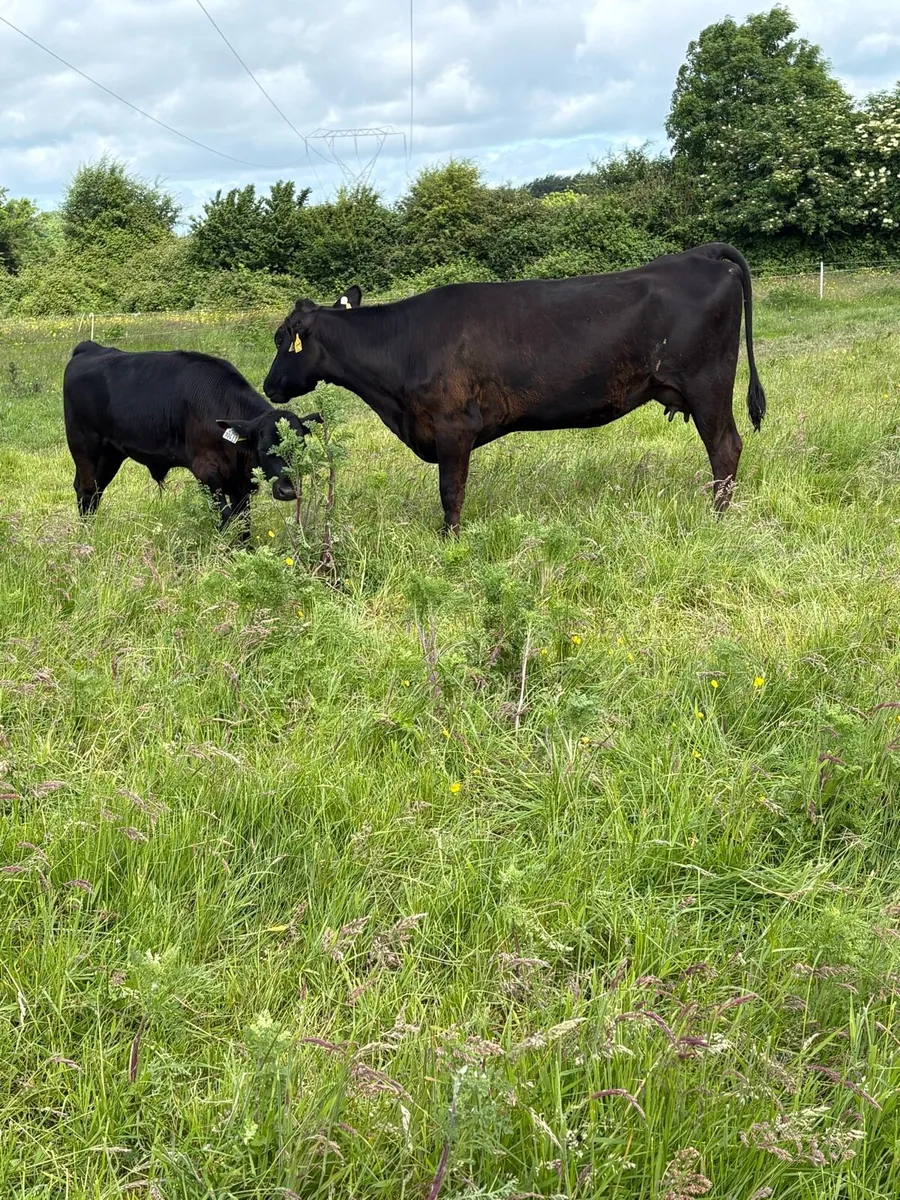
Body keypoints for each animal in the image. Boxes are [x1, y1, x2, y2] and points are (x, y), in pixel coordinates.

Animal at [63, 341, 320, 537]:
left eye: (301, 446)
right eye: (264, 448)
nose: (288, 490)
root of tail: (90, 348)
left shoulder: (241, 484)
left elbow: (244, 522)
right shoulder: (208, 473)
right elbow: (225, 518)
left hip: (111, 454)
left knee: (96, 491)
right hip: (84, 445)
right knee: (86, 490)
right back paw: (87, 537)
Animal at [262, 243, 766, 534]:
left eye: (282, 339)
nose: (267, 386)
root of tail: (699, 256)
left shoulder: (453, 427)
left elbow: (451, 492)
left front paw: (450, 542)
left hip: (708, 385)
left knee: (725, 446)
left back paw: (717, 519)